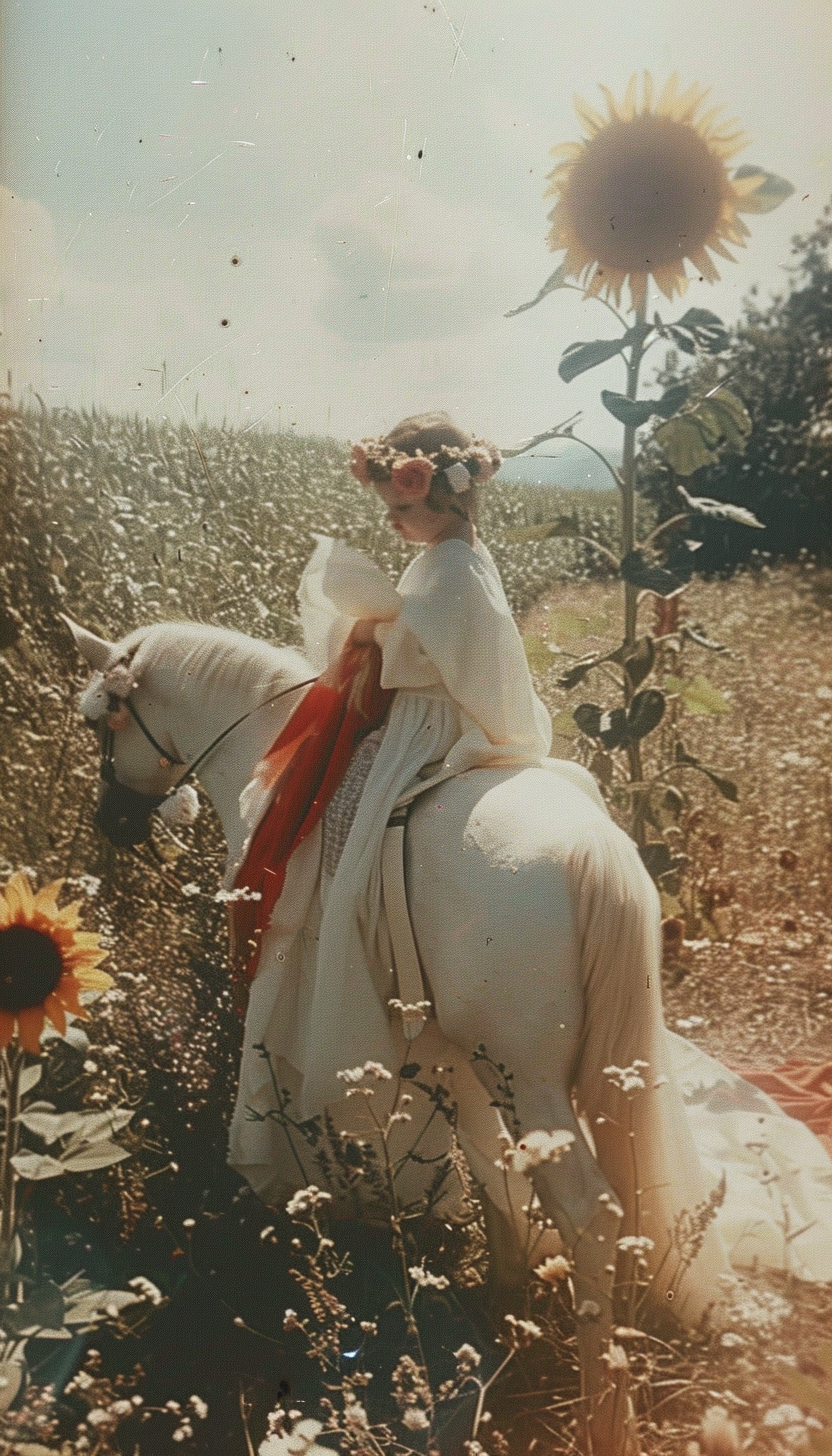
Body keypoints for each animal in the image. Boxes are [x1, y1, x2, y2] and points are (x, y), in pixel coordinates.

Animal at [66, 617, 832, 1456]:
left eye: (100, 719)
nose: (111, 822)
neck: (280, 747)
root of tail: (593, 852)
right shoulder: (455, 1048)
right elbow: (487, 1160)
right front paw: (502, 1294)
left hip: (531, 1084)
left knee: (591, 1213)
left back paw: (603, 1408)